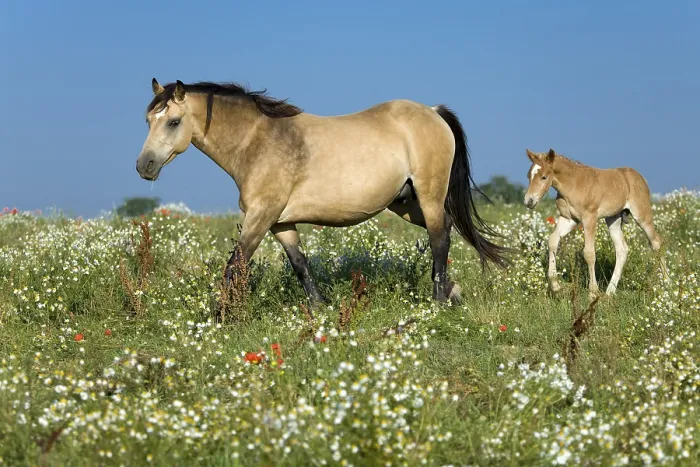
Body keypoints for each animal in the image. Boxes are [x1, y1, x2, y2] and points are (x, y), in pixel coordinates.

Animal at [135, 78, 509, 306]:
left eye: (173, 122)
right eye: (148, 121)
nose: (144, 166)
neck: (259, 143)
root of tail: (432, 112)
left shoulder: (259, 216)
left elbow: (234, 265)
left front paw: (220, 316)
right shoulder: (280, 222)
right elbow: (300, 264)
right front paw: (320, 308)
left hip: (428, 197)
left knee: (439, 238)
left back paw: (438, 299)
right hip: (405, 203)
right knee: (446, 227)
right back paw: (451, 290)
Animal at [523, 148, 668, 300]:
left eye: (544, 177)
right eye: (529, 176)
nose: (529, 201)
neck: (573, 184)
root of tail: (640, 177)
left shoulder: (589, 218)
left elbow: (589, 253)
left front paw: (593, 292)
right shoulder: (568, 219)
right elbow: (552, 241)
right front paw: (555, 286)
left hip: (642, 216)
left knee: (656, 242)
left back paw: (667, 284)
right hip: (613, 219)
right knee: (622, 249)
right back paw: (610, 292)